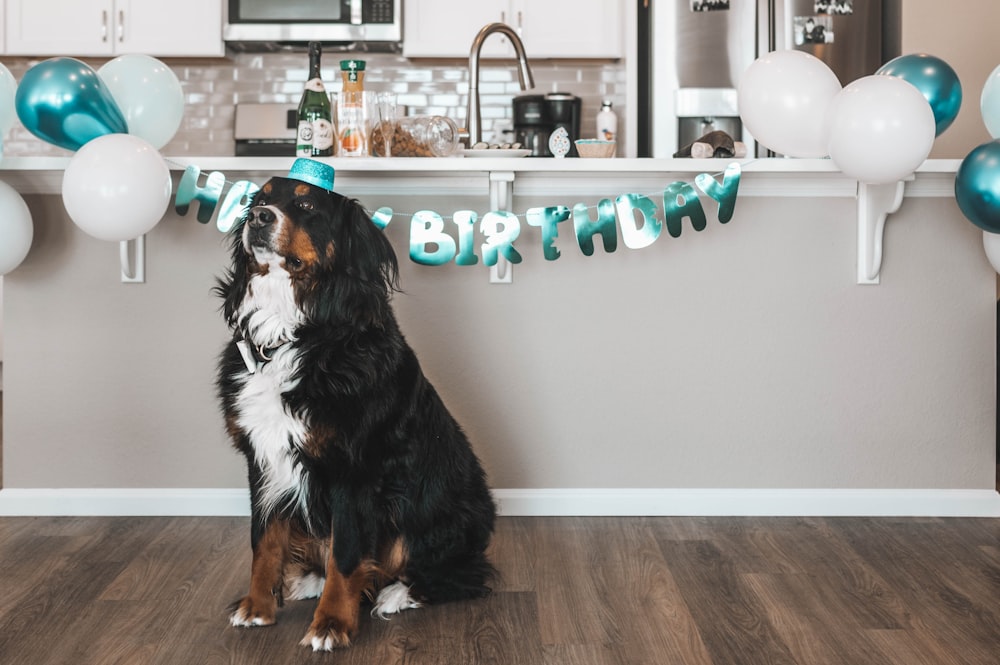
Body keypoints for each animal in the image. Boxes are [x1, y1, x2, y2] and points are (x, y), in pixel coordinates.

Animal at [215, 161, 496, 648]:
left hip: (435, 513)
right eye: (259, 198)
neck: (296, 333)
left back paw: (396, 594)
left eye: (308, 206)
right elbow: (263, 539)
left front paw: (331, 624)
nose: (259, 218)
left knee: (460, 575)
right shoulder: (262, 456)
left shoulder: (354, 467)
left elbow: (345, 556)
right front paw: (258, 606)